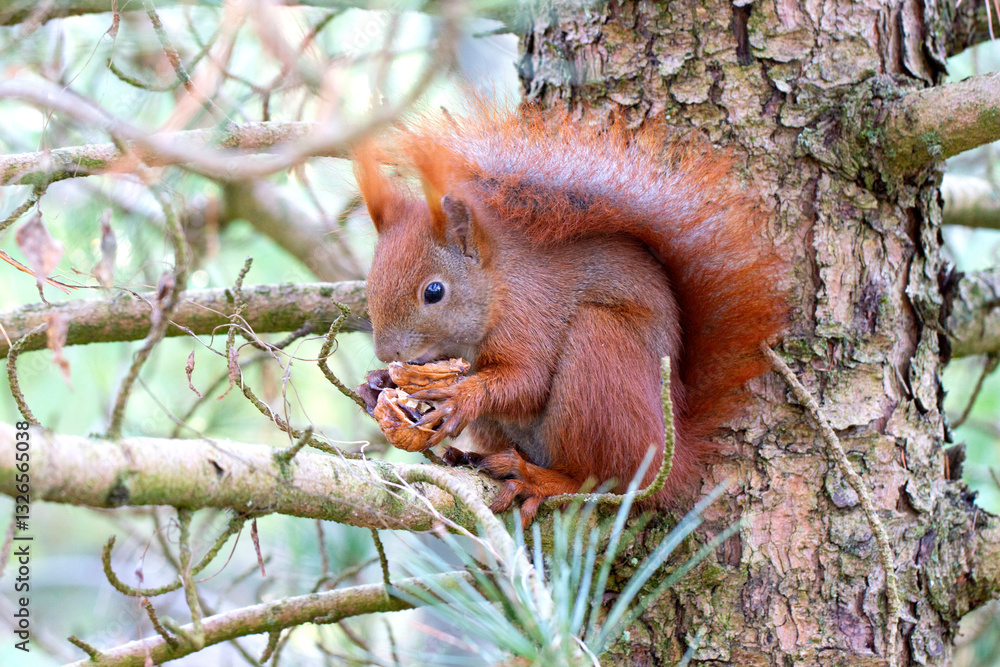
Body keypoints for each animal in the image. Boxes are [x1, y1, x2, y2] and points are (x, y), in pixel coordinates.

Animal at [354, 104, 788, 524]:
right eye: (371, 280)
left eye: (434, 291)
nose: (387, 352)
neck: (499, 288)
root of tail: (676, 449)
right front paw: (377, 384)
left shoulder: (530, 315)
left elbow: (528, 382)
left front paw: (459, 397)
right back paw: (472, 456)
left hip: (601, 361)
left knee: (602, 479)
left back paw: (537, 480)